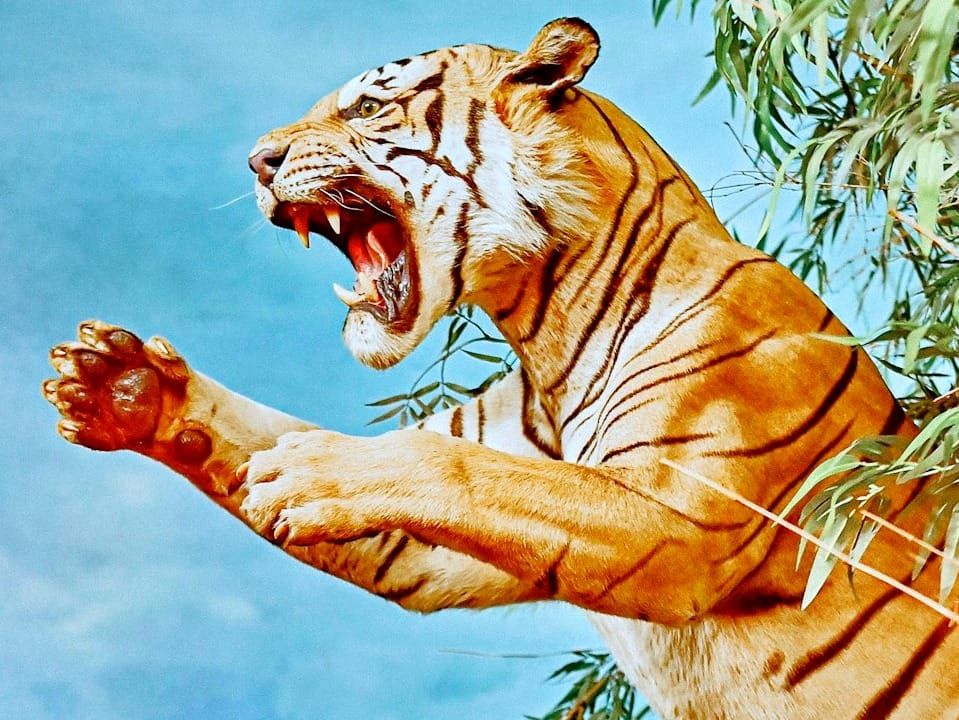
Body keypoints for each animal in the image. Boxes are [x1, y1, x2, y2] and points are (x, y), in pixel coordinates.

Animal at [43, 17, 958, 719]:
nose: (257, 162)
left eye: (369, 105)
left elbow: (456, 467)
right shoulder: (442, 541)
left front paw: (307, 471)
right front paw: (126, 386)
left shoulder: (679, 513)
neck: (546, 325)